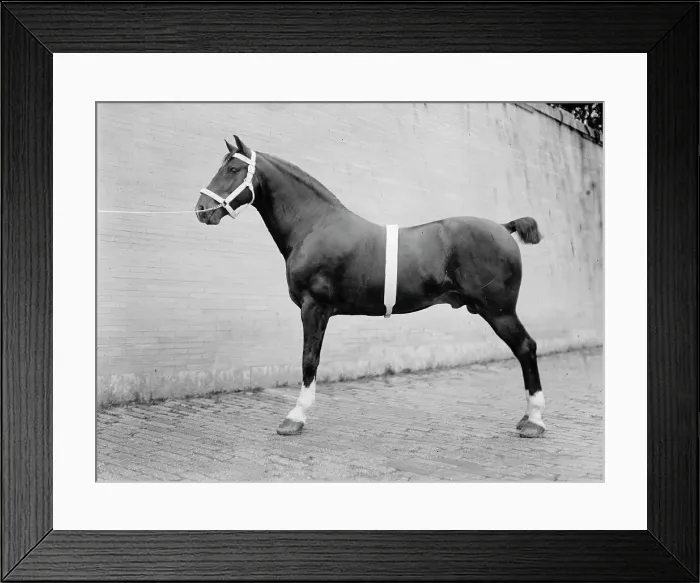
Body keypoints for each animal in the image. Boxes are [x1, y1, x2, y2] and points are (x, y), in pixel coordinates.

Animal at [195, 135, 546, 439]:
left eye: (233, 169)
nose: (201, 209)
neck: (314, 226)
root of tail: (502, 227)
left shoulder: (314, 307)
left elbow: (309, 360)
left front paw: (295, 418)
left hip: (499, 311)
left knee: (526, 348)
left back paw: (535, 421)